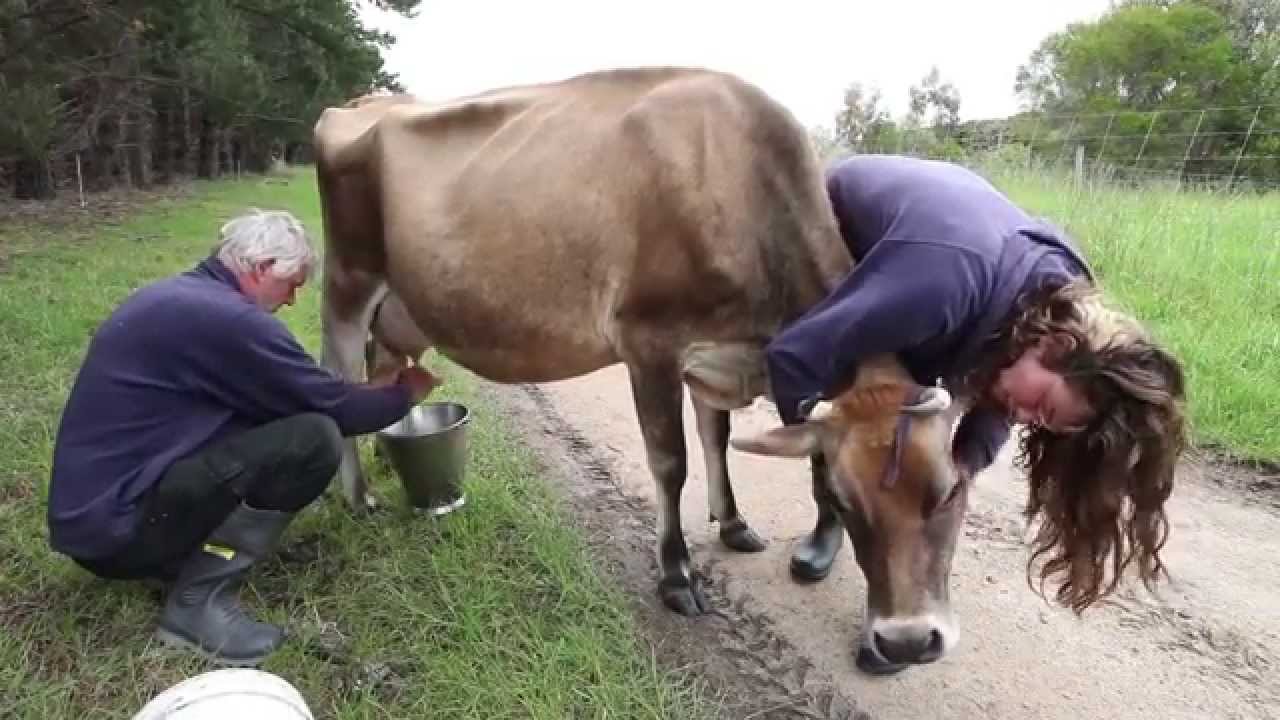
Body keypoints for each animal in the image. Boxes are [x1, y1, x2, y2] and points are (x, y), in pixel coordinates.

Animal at [312, 67, 969, 673]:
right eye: (843, 498)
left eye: (949, 492)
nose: (907, 640)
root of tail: (361, 104)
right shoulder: (648, 341)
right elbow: (671, 461)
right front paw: (677, 575)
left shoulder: (716, 351)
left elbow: (716, 437)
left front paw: (732, 523)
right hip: (347, 282)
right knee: (337, 380)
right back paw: (359, 496)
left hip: (400, 312)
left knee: (386, 374)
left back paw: (385, 458)